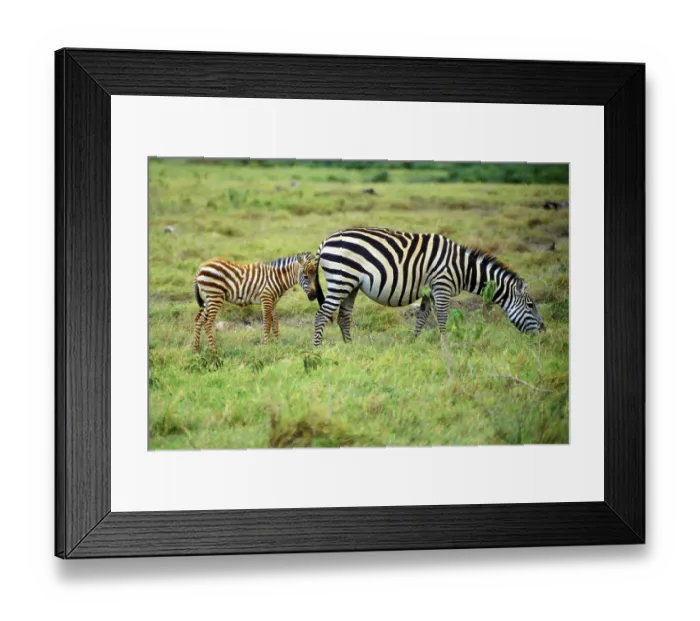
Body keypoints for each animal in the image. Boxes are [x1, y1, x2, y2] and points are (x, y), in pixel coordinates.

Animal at [311, 227, 545, 347]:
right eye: (531, 305)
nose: (544, 332)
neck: (463, 268)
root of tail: (325, 241)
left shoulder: (428, 292)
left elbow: (422, 317)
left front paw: (413, 342)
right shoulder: (442, 286)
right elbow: (442, 317)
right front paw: (446, 345)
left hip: (351, 284)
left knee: (344, 316)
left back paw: (349, 348)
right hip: (341, 279)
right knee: (322, 315)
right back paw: (317, 349)